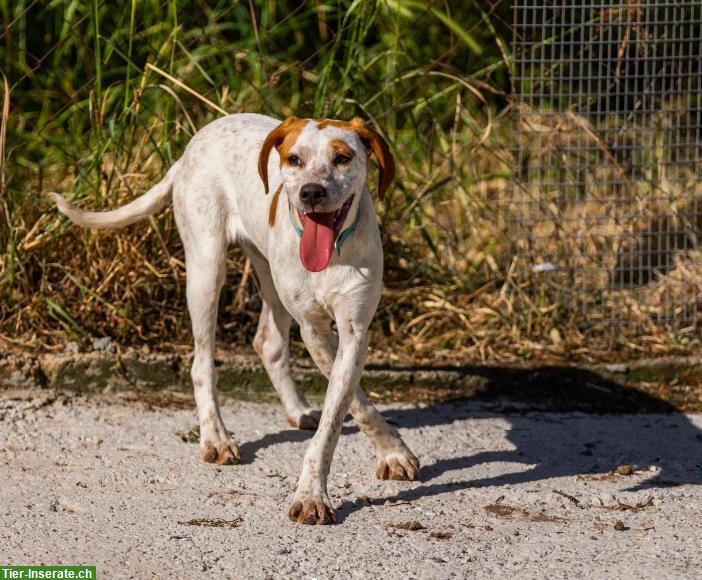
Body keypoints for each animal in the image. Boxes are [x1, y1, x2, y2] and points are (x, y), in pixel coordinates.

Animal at [52, 113, 424, 524]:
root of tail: (191, 146)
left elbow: (340, 412)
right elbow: (352, 405)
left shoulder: (353, 330)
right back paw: (215, 437)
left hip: (269, 276)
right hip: (206, 269)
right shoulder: (315, 330)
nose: (310, 193)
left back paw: (296, 409)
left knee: (269, 344)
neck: (333, 255)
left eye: (342, 158)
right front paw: (316, 492)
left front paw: (389, 453)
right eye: (294, 159)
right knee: (202, 364)